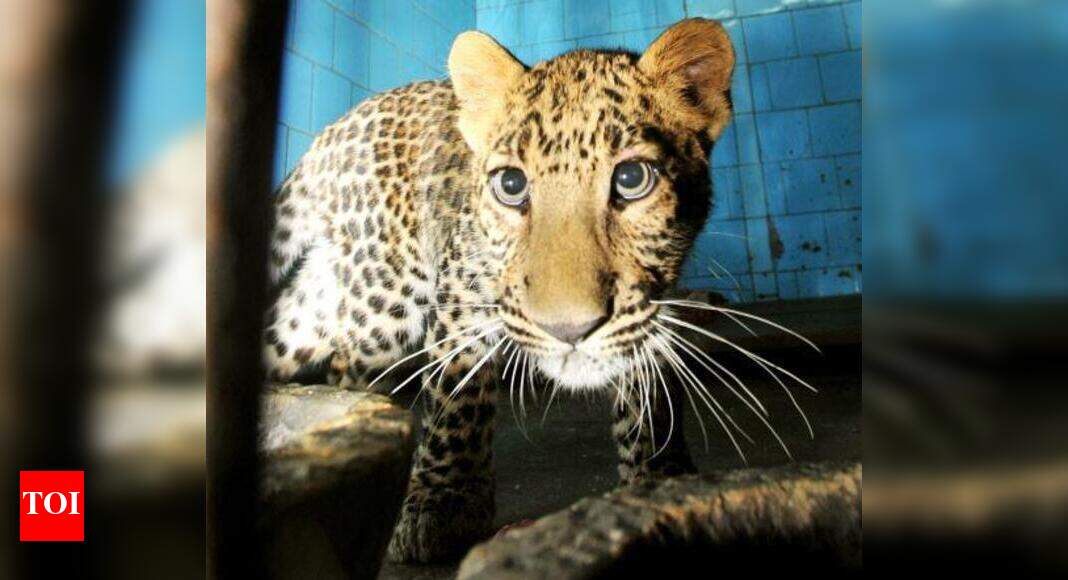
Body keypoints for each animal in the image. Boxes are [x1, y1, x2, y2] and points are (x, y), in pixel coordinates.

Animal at [264, 19, 736, 563]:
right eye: (511, 185)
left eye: (632, 178)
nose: (568, 329)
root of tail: (334, 130)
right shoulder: (461, 296)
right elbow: (456, 397)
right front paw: (442, 503)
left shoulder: (652, 298)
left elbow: (649, 384)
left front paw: (660, 476)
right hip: (383, 298)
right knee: (345, 356)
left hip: (338, 288)